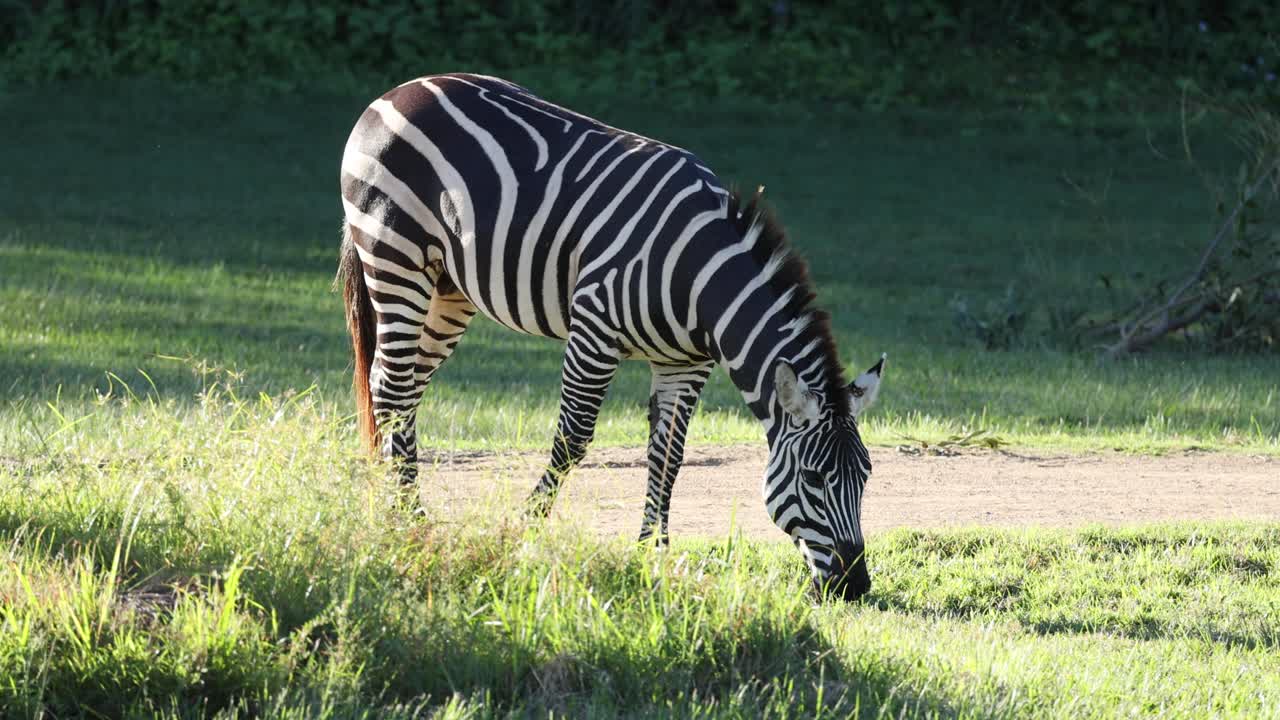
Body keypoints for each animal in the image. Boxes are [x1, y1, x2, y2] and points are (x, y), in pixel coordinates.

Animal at [335, 73, 887, 600]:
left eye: (866, 476)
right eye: (813, 478)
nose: (854, 586)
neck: (699, 280)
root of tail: (397, 91)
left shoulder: (685, 363)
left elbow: (669, 455)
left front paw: (653, 554)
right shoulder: (594, 331)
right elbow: (572, 440)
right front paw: (526, 532)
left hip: (449, 290)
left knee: (400, 388)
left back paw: (394, 505)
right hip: (396, 259)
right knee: (391, 388)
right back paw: (408, 517)